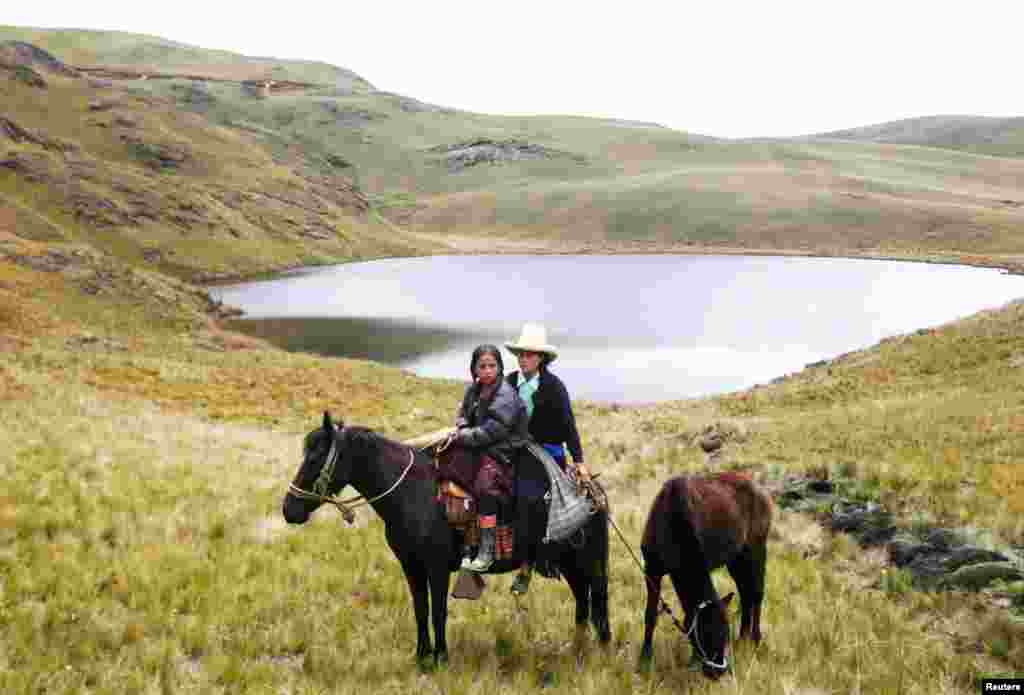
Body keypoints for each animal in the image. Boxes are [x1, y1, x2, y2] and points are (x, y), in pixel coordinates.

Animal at [282, 413, 606, 667]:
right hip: (570, 563)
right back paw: (578, 650)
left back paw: (598, 650)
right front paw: (421, 656)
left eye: (315, 457)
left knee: (596, 598)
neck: (412, 492)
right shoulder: (411, 566)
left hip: (587, 560)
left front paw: (441, 658)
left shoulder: (436, 567)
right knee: (583, 599)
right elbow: (420, 609)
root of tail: (590, 486)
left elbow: (438, 611)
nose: (289, 509)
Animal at [634, 472, 770, 679]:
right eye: (705, 633)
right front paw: (645, 658)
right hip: (736, 558)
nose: (718, 671)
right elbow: (651, 616)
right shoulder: (652, 570)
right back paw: (742, 638)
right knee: (746, 594)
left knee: (757, 594)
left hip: (757, 549)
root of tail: (760, 490)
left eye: (724, 634)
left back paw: (755, 639)